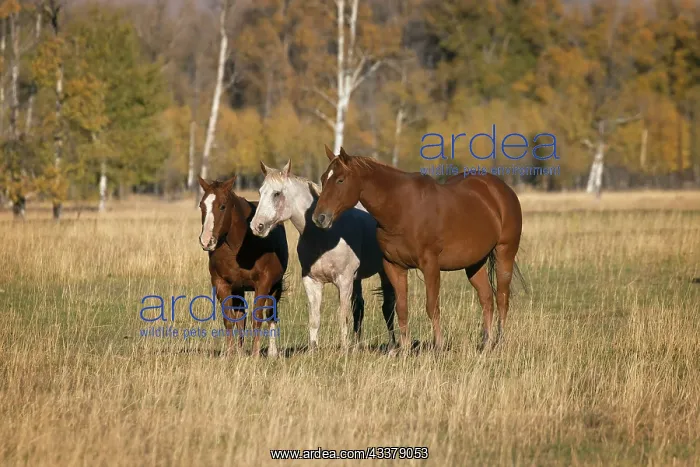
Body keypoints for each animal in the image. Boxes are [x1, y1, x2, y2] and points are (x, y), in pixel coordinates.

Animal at [198, 175, 288, 357]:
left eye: (222, 206)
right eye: (201, 205)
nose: (206, 241)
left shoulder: (263, 284)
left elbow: (257, 317)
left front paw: (255, 354)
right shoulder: (222, 284)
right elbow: (229, 319)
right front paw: (230, 354)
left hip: (275, 286)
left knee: (271, 314)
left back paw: (272, 352)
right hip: (238, 288)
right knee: (241, 317)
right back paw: (240, 351)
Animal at [249, 160, 396, 352]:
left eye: (277, 193)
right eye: (260, 192)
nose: (256, 226)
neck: (324, 236)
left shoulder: (344, 281)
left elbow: (343, 317)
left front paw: (345, 351)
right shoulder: (312, 281)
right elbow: (314, 318)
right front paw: (313, 350)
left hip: (384, 271)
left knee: (388, 306)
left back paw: (392, 347)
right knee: (359, 307)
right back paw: (357, 346)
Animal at [311, 146, 524, 352]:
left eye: (340, 180)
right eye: (323, 179)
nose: (319, 218)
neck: (401, 210)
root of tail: (500, 190)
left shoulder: (430, 265)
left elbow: (432, 306)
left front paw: (438, 346)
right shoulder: (394, 266)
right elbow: (401, 308)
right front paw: (405, 350)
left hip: (504, 254)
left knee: (502, 299)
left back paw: (500, 343)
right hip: (474, 263)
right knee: (487, 299)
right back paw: (487, 344)